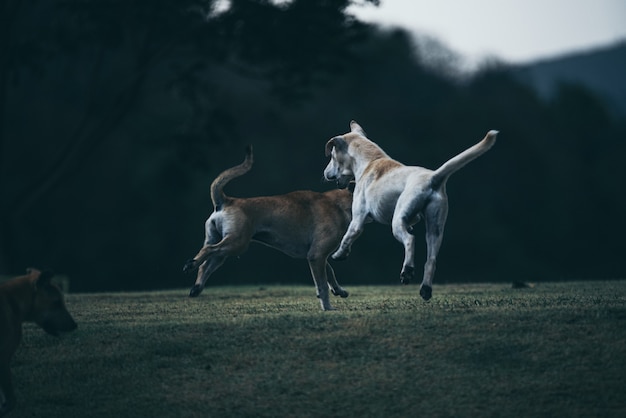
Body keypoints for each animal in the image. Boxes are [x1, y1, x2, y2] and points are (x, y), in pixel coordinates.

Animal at [183, 147, 354, 310]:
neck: (340, 204)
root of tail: (227, 200)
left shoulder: (316, 255)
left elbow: (330, 273)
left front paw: (339, 290)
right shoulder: (316, 255)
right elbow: (322, 285)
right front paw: (327, 307)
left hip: (221, 248)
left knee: (206, 264)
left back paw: (196, 287)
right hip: (236, 243)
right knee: (208, 251)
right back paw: (190, 265)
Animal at [324, 121, 494, 300]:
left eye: (332, 156)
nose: (325, 173)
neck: (371, 161)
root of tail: (432, 177)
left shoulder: (358, 219)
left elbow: (347, 237)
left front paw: (339, 254)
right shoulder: (414, 219)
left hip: (397, 221)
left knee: (410, 240)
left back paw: (407, 271)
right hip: (435, 229)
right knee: (431, 260)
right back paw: (425, 289)